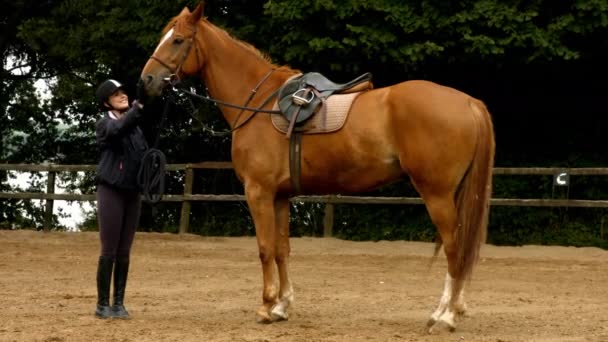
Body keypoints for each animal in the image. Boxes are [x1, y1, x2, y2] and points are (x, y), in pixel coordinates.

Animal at [141, 2, 494, 332]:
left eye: (178, 40)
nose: (147, 80)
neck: (259, 104)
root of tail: (468, 102)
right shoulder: (280, 196)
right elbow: (282, 249)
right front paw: (282, 306)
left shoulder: (258, 192)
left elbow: (265, 248)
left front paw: (266, 306)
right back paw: (453, 309)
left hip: (437, 194)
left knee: (454, 249)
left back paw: (445, 315)